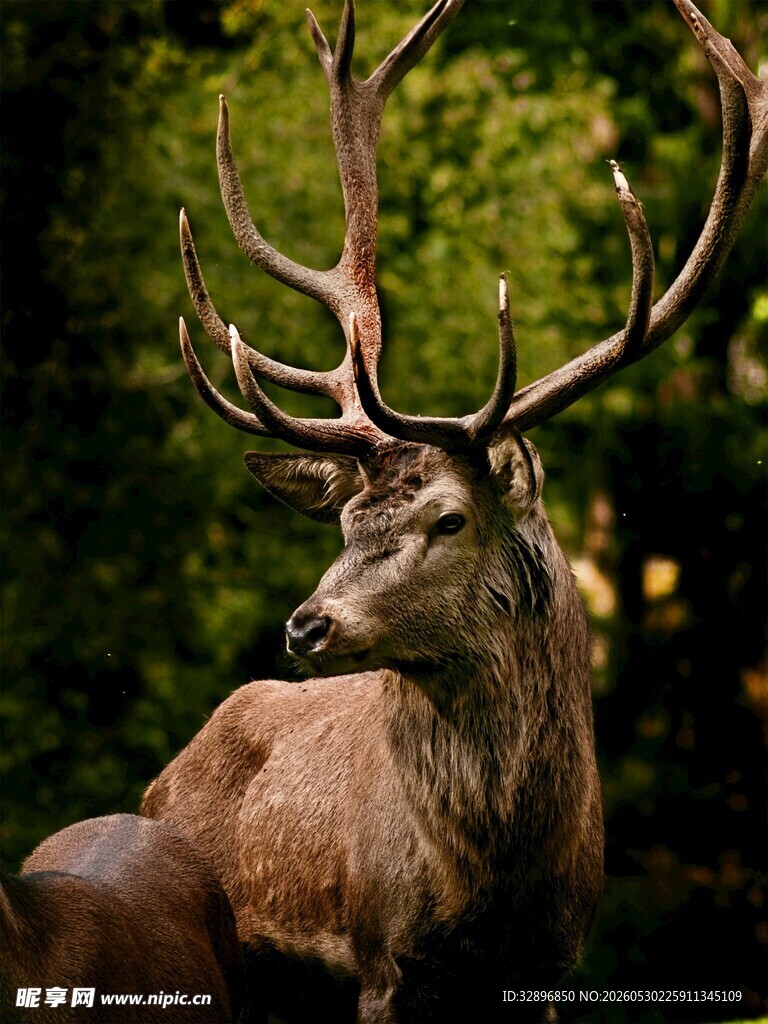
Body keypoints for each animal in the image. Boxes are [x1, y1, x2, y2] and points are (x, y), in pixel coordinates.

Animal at [141, 1, 767, 1022]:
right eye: (346, 523)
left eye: (448, 519)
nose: (306, 625)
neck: (498, 893)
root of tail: (165, 780)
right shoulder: (380, 962)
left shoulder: (556, 963)